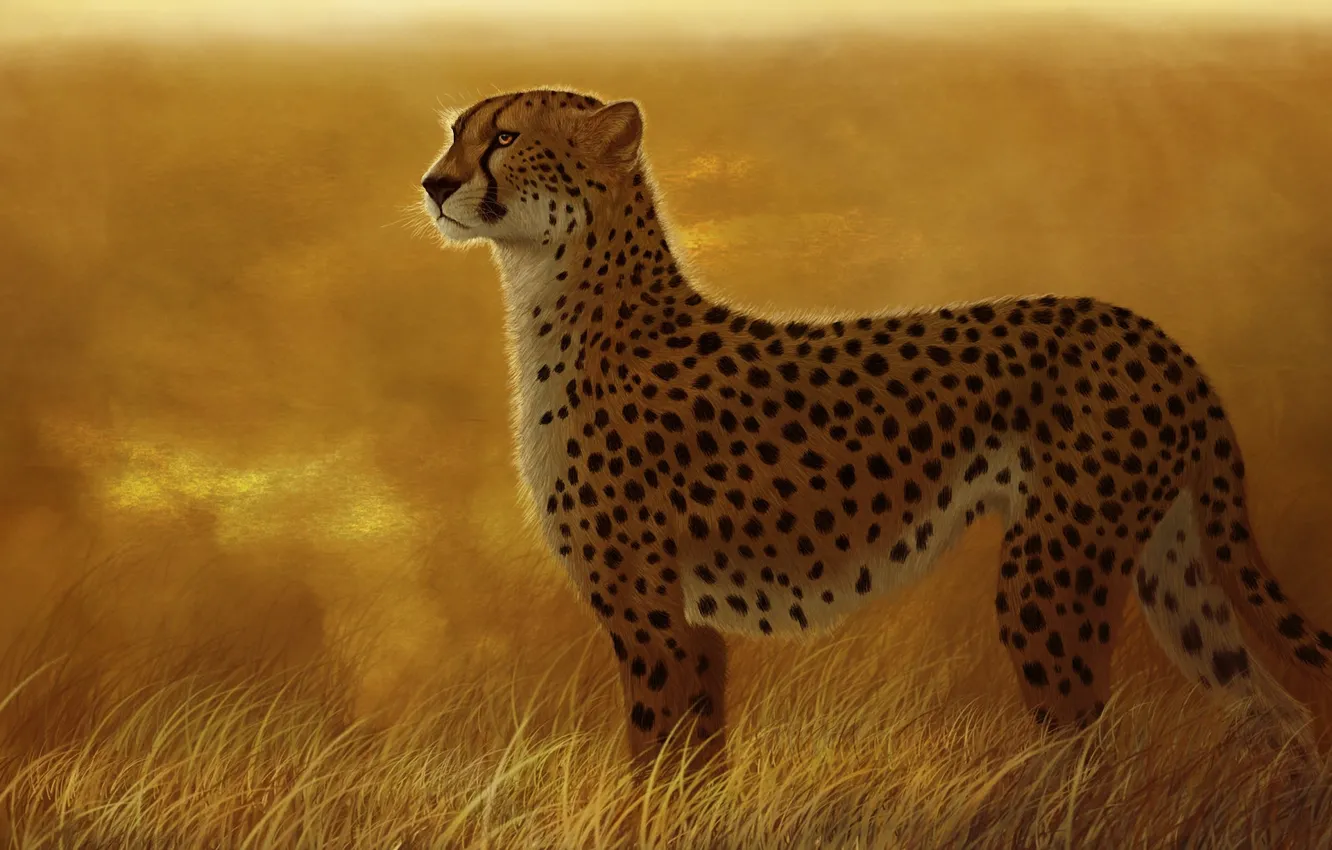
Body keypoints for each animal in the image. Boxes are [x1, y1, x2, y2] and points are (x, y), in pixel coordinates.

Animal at [419, 87, 1332, 781]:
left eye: (505, 137)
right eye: (457, 134)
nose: (432, 184)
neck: (560, 292)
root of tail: (1154, 334)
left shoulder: (649, 619)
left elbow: (653, 766)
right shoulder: (692, 624)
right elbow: (695, 765)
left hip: (1050, 575)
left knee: (1087, 742)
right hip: (1170, 568)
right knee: (1278, 712)